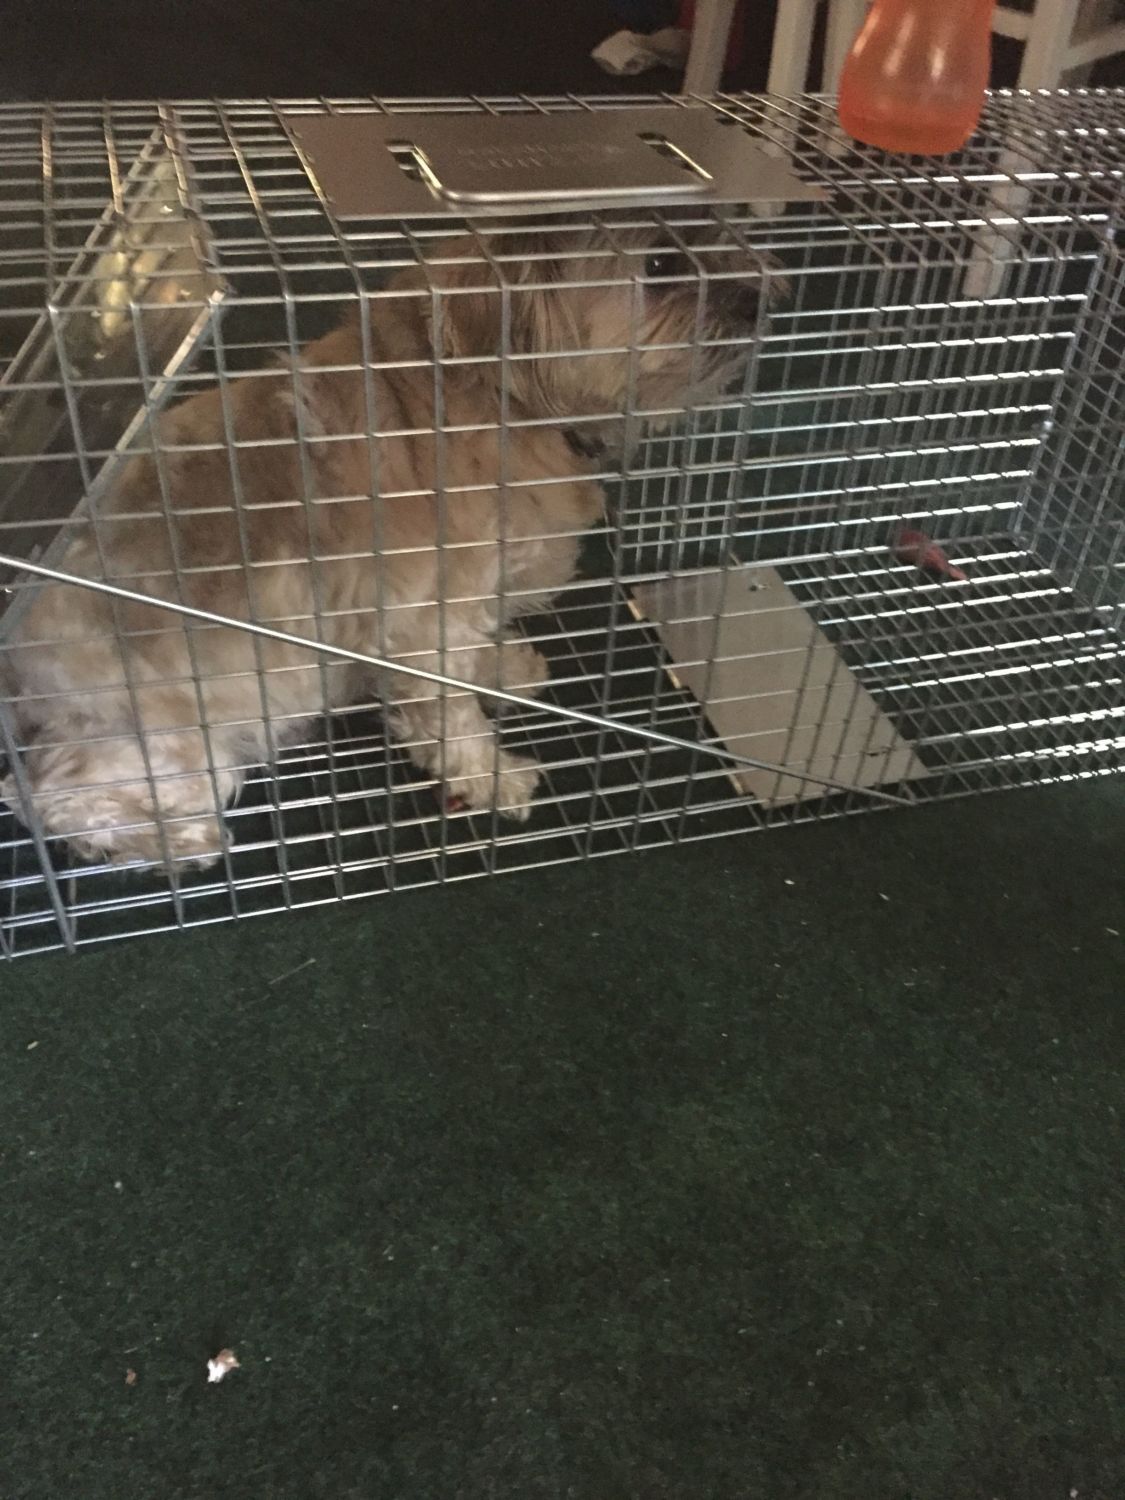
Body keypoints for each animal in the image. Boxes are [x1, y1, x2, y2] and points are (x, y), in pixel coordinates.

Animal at [1, 220, 778, 869]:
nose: (761, 298)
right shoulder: (422, 627)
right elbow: (454, 724)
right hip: (180, 745)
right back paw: (176, 843)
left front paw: (505, 667)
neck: (508, 401)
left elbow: (480, 657)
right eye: (662, 262)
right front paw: (496, 777)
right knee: (48, 797)